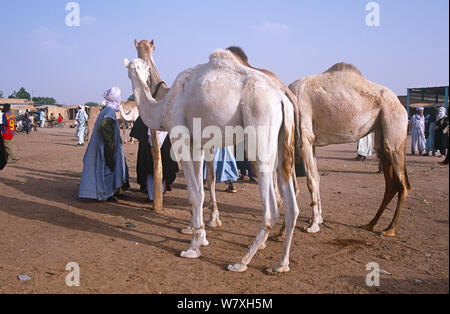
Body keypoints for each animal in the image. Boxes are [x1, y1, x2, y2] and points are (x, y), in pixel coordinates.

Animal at [124, 49, 298, 272]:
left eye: (141, 67)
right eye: (132, 68)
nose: (136, 72)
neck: (162, 107)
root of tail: (282, 97)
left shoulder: (180, 139)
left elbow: (195, 195)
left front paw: (193, 248)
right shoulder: (197, 144)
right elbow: (199, 191)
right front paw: (202, 238)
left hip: (260, 129)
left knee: (272, 207)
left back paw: (241, 262)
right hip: (283, 141)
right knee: (292, 204)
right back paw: (281, 264)